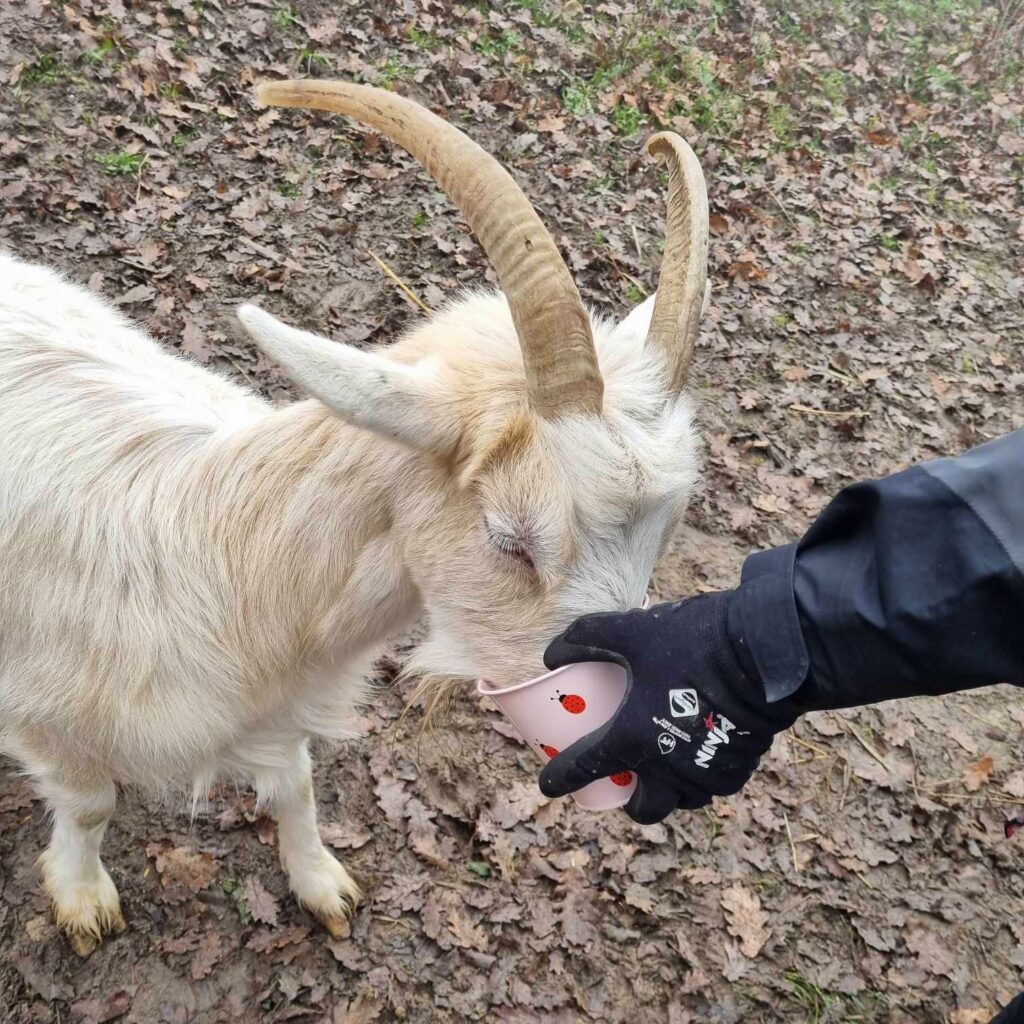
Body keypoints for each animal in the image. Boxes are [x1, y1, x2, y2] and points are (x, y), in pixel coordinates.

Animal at [0, 77, 704, 950]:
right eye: (511, 540)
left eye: (664, 533)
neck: (216, 549)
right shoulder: (44, 712)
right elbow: (92, 803)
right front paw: (82, 897)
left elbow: (294, 784)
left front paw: (322, 885)